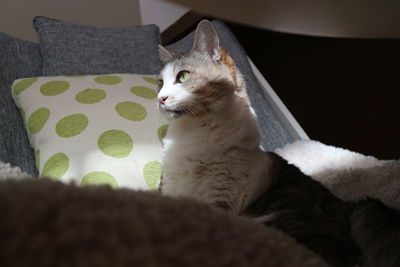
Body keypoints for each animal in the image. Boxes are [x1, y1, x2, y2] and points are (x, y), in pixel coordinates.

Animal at [155, 19, 400, 266]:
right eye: (160, 83)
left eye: (183, 77)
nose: (160, 98)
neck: (194, 132)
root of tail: (348, 208)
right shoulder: (169, 188)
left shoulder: (219, 199)